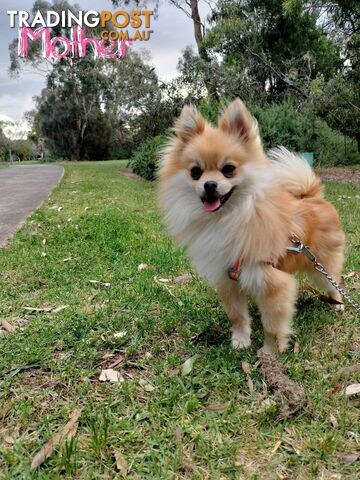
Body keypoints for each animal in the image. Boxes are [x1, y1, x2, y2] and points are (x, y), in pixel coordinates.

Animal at [159, 99, 344, 354]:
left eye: (228, 169)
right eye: (195, 172)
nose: (209, 185)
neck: (230, 218)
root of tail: (313, 197)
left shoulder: (274, 283)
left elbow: (272, 325)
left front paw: (270, 352)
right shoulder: (227, 279)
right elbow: (237, 315)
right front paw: (240, 340)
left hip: (322, 265)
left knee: (335, 281)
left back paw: (338, 303)